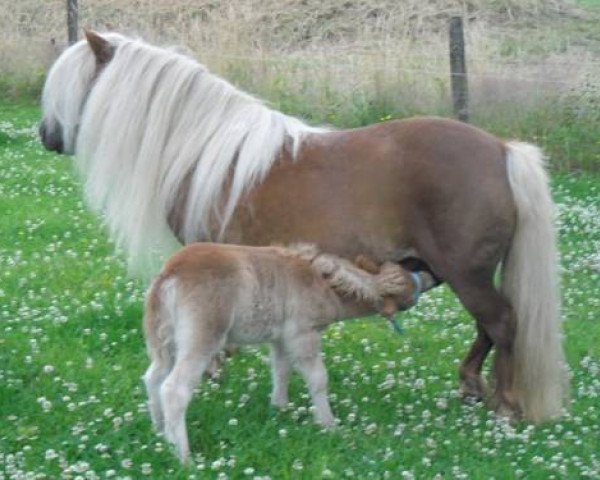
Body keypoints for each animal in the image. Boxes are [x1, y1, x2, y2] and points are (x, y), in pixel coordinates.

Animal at [41, 30, 568, 422]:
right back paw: (472, 386)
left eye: (73, 85)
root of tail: (501, 150)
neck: (205, 150)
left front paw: (214, 370)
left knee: (500, 323)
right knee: (490, 326)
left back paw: (505, 404)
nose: (45, 134)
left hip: (465, 273)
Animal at [143, 244, 434, 462]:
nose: (430, 276)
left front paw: (279, 409)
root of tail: (169, 274)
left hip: (164, 339)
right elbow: (318, 378)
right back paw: (184, 457)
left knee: (153, 378)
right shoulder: (302, 333)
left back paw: (160, 434)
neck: (325, 285)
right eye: (406, 280)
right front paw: (329, 425)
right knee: (174, 388)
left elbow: (281, 369)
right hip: (202, 336)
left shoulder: (280, 338)